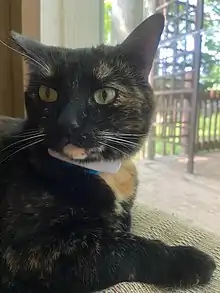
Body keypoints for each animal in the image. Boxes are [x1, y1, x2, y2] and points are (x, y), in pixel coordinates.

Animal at [0, 13, 216, 292]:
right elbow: (122, 249)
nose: (68, 123)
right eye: (47, 93)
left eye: (104, 94)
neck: (104, 172)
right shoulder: (31, 252)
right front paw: (188, 260)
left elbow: (121, 230)